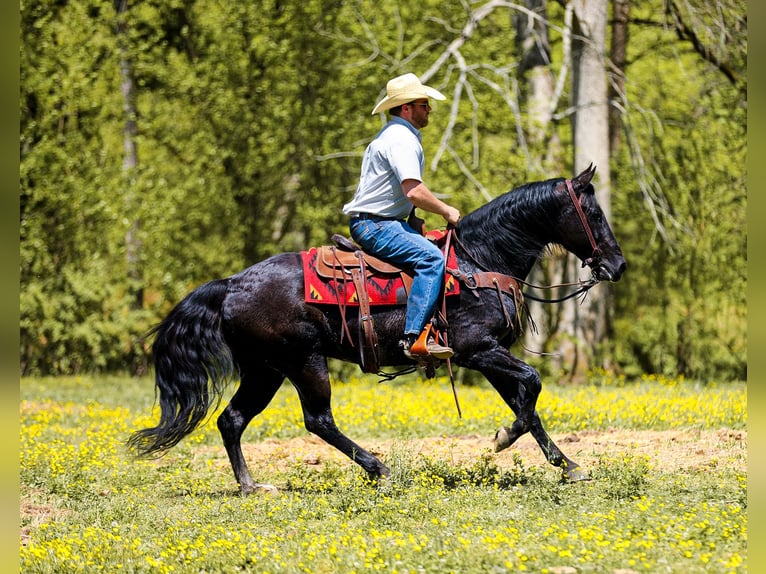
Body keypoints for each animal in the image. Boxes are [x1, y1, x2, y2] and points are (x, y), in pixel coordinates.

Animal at [128, 164, 626, 494]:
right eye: (595, 215)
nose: (618, 265)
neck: (480, 260)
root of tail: (231, 284)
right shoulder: (476, 350)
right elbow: (532, 386)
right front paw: (504, 439)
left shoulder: (489, 356)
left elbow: (528, 404)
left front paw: (567, 464)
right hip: (302, 361)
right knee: (318, 419)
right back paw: (378, 469)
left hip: (265, 370)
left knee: (232, 419)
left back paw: (251, 485)